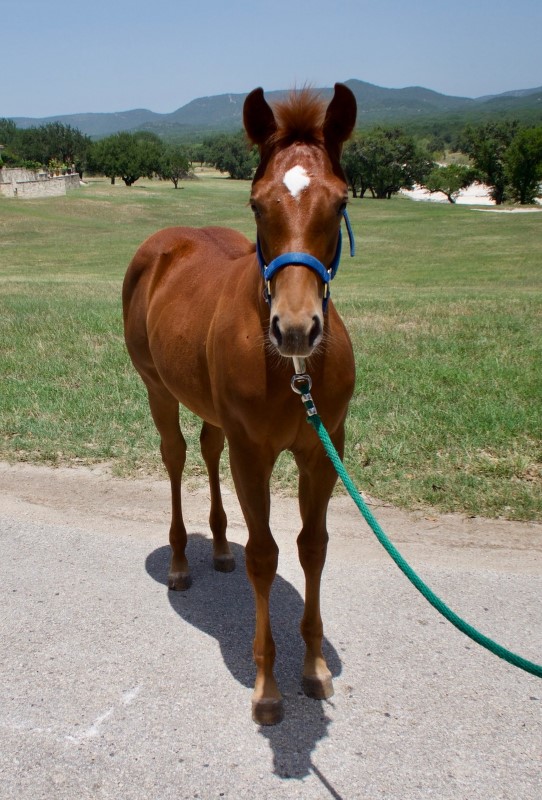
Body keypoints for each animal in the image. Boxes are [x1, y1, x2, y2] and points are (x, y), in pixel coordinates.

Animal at [125, 83, 360, 724]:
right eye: (257, 205)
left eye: (339, 202)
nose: (296, 329)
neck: (295, 373)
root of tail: (162, 243)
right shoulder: (253, 454)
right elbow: (266, 556)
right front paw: (268, 687)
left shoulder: (322, 451)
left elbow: (311, 548)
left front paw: (315, 668)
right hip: (158, 390)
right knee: (178, 457)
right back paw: (182, 561)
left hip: (212, 411)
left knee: (208, 450)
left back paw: (220, 545)